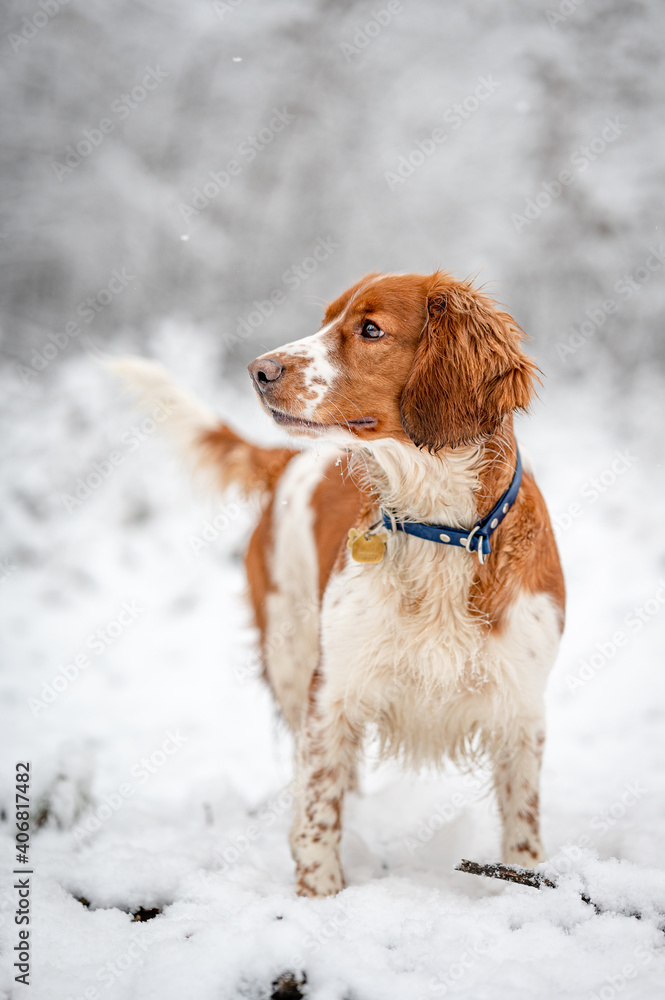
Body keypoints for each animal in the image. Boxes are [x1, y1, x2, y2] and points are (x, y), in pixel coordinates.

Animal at [113, 272, 560, 900]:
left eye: (370, 330)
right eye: (325, 320)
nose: (258, 370)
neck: (437, 529)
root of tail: (287, 464)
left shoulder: (521, 709)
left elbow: (523, 827)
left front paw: (523, 887)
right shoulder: (334, 691)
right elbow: (318, 807)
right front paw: (319, 895)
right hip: (290, 656)